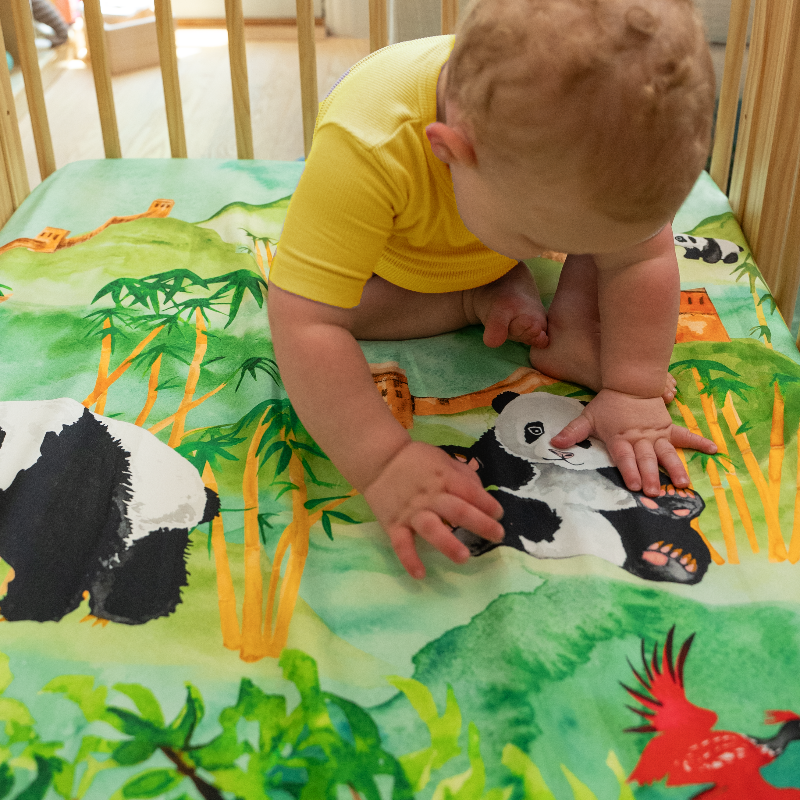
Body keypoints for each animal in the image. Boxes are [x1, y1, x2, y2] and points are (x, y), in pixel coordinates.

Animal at [444, 392, 712, 584]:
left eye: (585, 439)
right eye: (535, 429)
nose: (562, 453)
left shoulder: (613, 469)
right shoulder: (504, 458)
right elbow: (502, 464)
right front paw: (466, 461)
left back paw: (672, 549)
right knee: (518, 514)